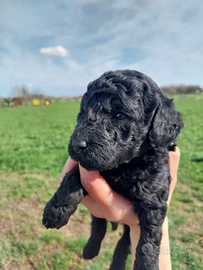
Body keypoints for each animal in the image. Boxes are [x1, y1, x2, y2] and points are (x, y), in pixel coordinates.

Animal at [42, 70, 184, 270]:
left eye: (119, 115)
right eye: (83, 112)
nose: (77, 145)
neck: (124, 166)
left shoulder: (154, 200)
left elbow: (149, 240)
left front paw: (146, 266)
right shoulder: (90, 165)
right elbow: (73, 177)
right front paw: (55, 210)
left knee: (124, 241)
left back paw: (116, 263)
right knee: (98, 224)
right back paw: (90, 250)